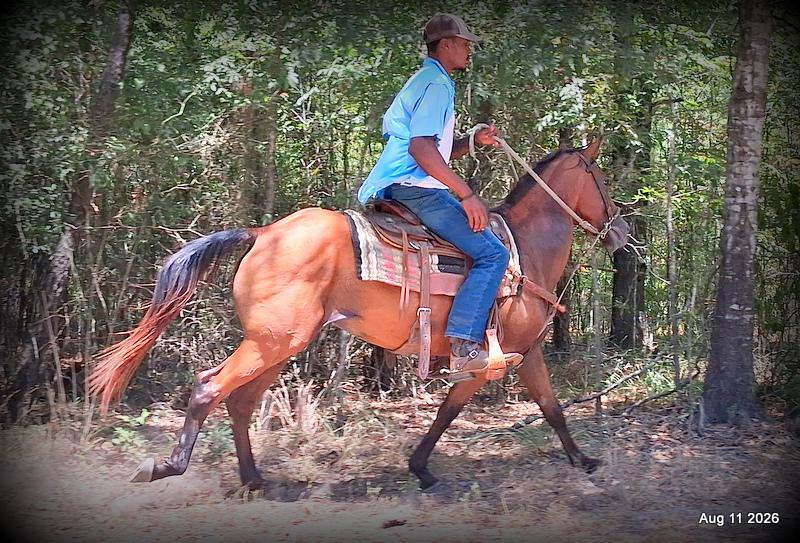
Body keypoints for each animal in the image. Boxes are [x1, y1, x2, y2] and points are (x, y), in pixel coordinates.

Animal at [89, 138, 629, 491]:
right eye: (601, 180)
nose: (621, 231)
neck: (523, 250)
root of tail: (263, 234)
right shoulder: (492, 358)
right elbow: (456, 409)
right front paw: (422, 468)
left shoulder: (527, 351)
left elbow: (548, 408)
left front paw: (582, 460)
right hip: (272, 341)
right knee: (208, 388)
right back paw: (168, 467)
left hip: (278, 345)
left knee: (240, 402)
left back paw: (253, 478)